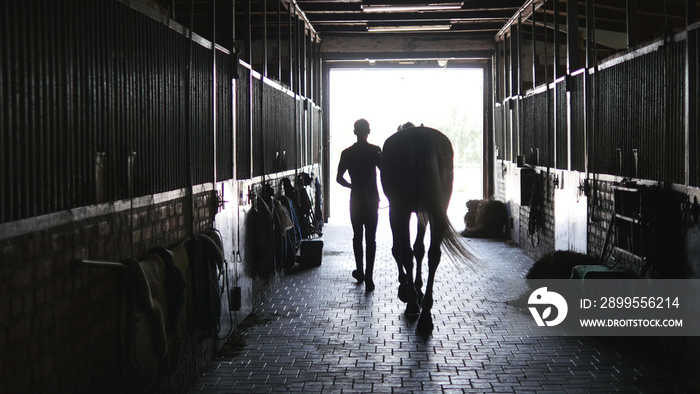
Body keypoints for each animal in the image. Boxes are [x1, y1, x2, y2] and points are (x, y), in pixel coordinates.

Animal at [380, 124, 478, 334]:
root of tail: (420, 135)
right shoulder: (423, 212)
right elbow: (420, 249)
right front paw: (418, 288)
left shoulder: (395, 210)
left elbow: (399, 249)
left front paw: (406, 289)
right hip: (437, 210)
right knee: (433, 255)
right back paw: (425, 313)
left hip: (402, 209)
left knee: (406, 253)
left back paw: (412, 304)